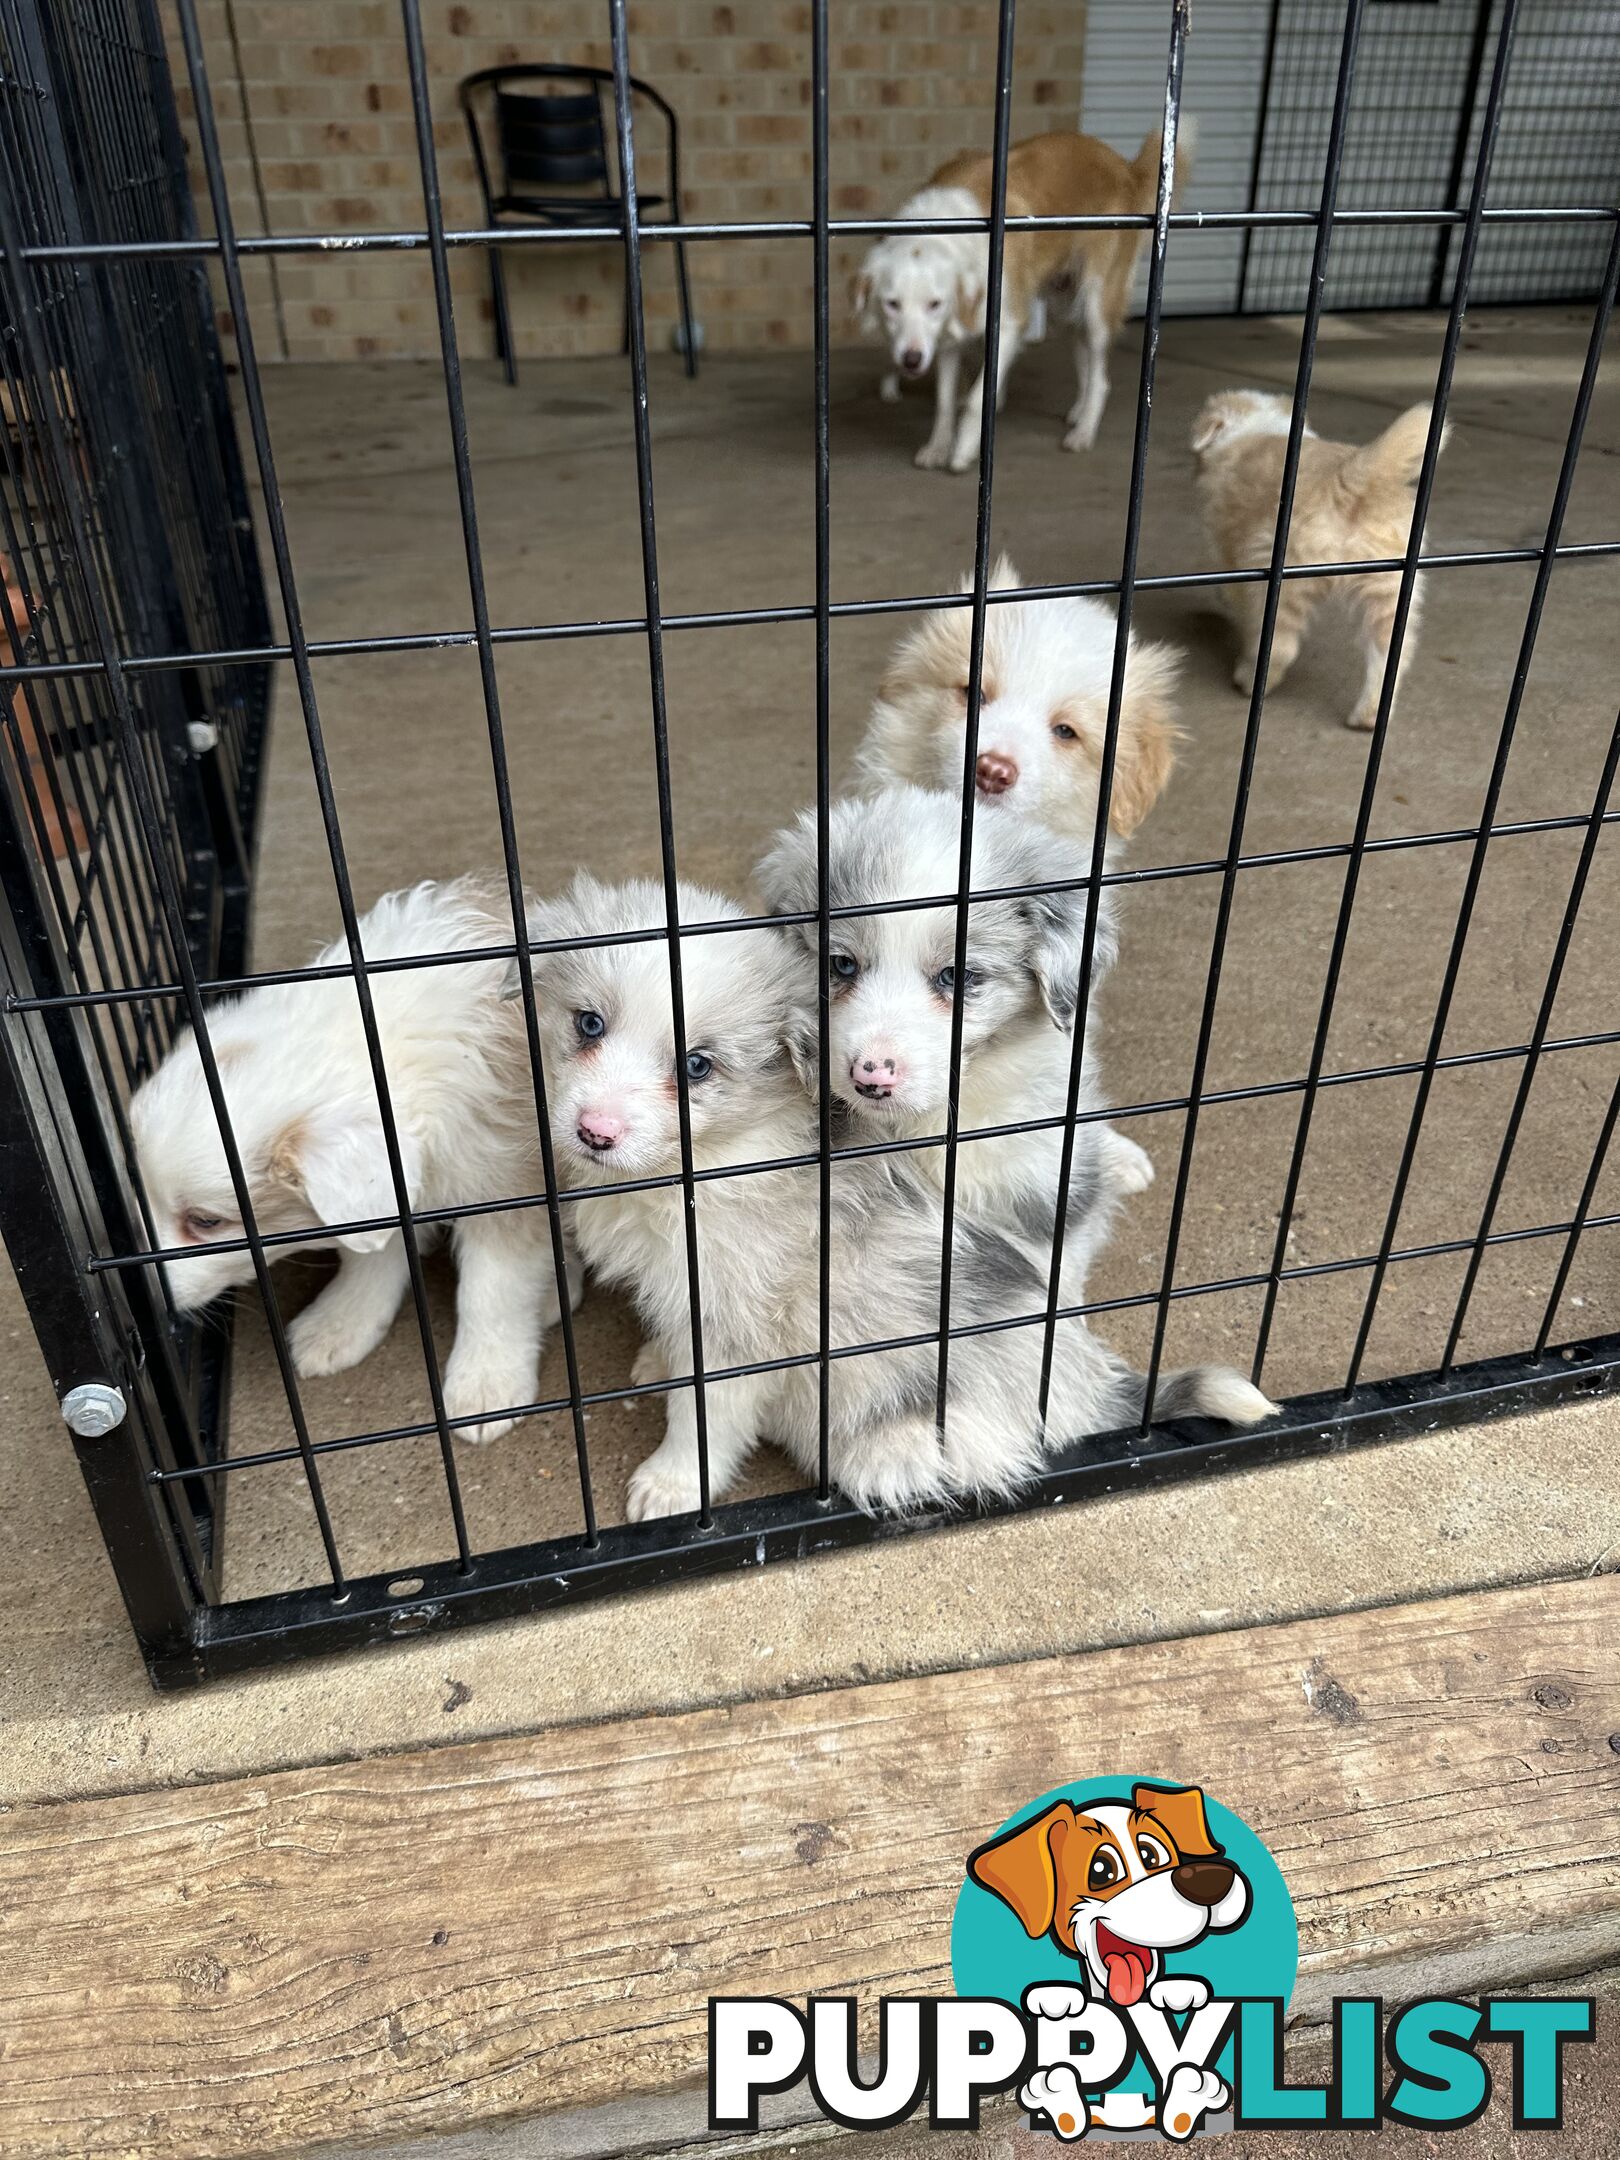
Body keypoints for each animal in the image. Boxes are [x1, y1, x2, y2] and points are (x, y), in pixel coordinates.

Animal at [133, 876, 578, 1434]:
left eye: (206, 1221)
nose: (147, 1304)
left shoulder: (504, 1185)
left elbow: (492, 1291)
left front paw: (486, 1384)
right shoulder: (381, 1197)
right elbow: (370, 1258)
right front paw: (341, 1323)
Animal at [516, 872, 1270, 1520]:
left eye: (697, 1066)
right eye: (588, 1025)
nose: (594, 1132)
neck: (706, 1165)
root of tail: (1089, 1390)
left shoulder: (744, 1325)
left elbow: (705, 1416)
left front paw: (671, 1485)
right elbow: (678, 1355)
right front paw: (656, 1361)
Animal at [864, 126, 1192, 473]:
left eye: (934, 304)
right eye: (891, 304)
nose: (910, 361)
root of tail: (1123, 166)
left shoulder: (1008, 326)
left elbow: (976, 399)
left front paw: (963, 449)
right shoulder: (949, 335)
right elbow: (945, 401)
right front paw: (938, 446)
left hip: (1095, 302)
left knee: (1102, 377)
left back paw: (1084, 431)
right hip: (1065, 304)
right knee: (1086, 360)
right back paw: (1079, 411)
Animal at [1192, 399, 1442, 743]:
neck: (1259, 426)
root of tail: (1352, 477)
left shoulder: (1231, 548)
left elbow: (1233, 589)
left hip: (1285, 578)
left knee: (1280, 646)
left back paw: (1251, 679)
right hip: (1390, 586)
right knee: (1390, 654)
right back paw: (1369, 715)